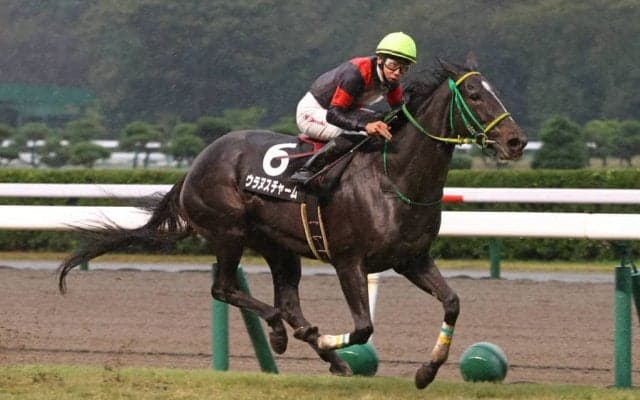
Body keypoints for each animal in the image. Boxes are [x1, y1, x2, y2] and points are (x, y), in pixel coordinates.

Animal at [58, 53, 527, 389]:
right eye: (476, 95)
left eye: (495, 91)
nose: (516, 141)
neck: (393, 178)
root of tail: (195, 165)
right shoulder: (349, 261)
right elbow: (362, 328)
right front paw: (329, 341)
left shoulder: (412, 259)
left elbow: (452, 303)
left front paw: (426, 372)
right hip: (228, 232)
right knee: (225, 289)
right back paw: (284, 335)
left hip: (280, 247)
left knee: (286, 302)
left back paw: (316, 349)